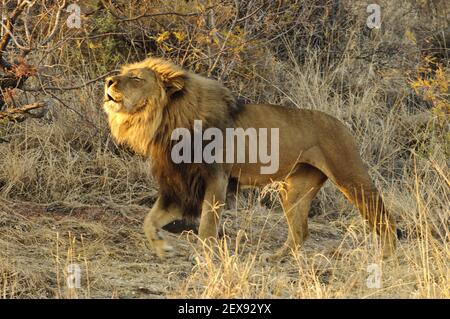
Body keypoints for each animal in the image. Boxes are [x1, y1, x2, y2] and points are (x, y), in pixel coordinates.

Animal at [103, 58, 398, 260]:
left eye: (136, 78)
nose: (107, 81)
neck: (165, 120)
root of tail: (342, 124)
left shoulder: (217, 179)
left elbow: (207, 226)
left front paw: (205, 256)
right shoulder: (181, 185)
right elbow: (149, 220)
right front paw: (162, 247)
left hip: (350, 177)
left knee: (384, 218)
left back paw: (387, 256)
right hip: (295, 190)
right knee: (301, 232)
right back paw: (276, 258)